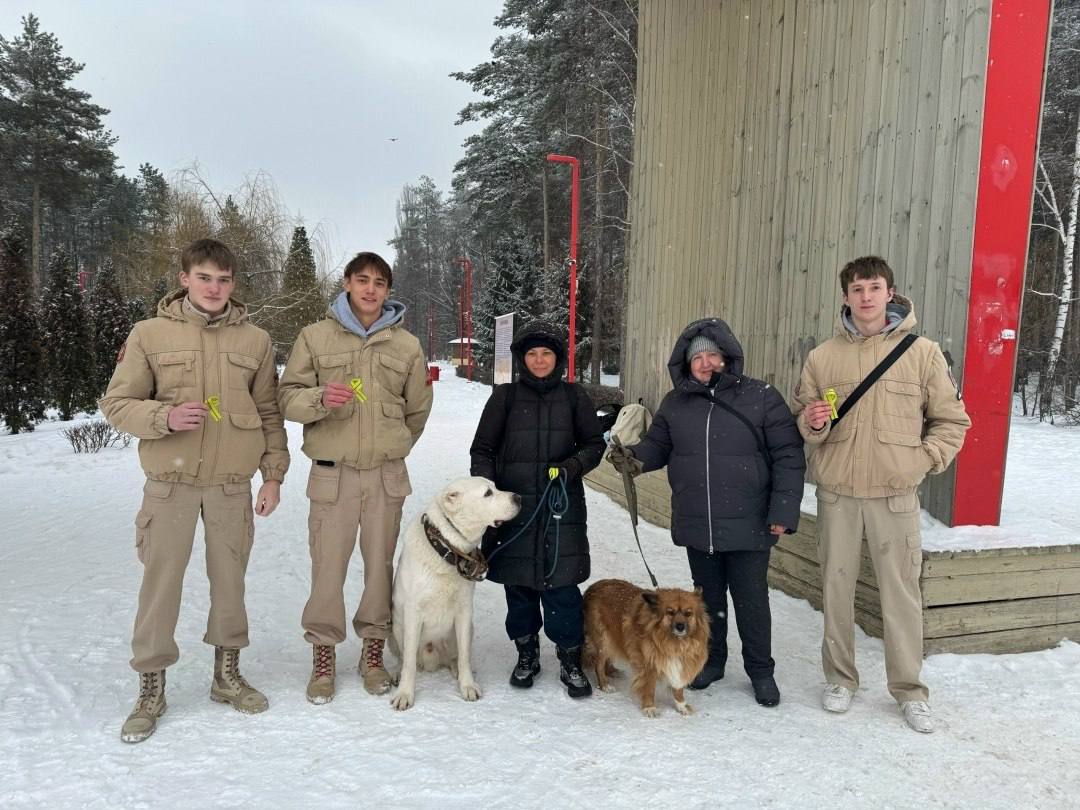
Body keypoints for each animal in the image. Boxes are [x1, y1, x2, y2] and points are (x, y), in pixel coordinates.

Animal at [389, 476, 520, 711]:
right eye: (487, 493)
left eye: (495, 487)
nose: (519, 498)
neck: (447, 551)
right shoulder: (413, 612)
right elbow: (409, 662)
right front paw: (405, 693)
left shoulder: (465, 611)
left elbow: (464, 656)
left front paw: (467, 685)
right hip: (393, 628)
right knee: (403, 658)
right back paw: (396, 671)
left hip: (466, 630)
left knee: (456, 656)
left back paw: (457, 670)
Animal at [583, 579, 709, 717]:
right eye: (670, 612)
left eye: (688, 613)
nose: (680, 626)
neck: (674, 642)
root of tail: (593, 586)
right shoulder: (648, 665)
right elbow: (649, 688)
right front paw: (649, 707)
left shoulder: (681, 661)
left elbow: (678, 687)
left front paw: (681, 705)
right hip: (605, 640)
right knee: (599, 664)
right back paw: (604, 684)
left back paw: (611, 671)